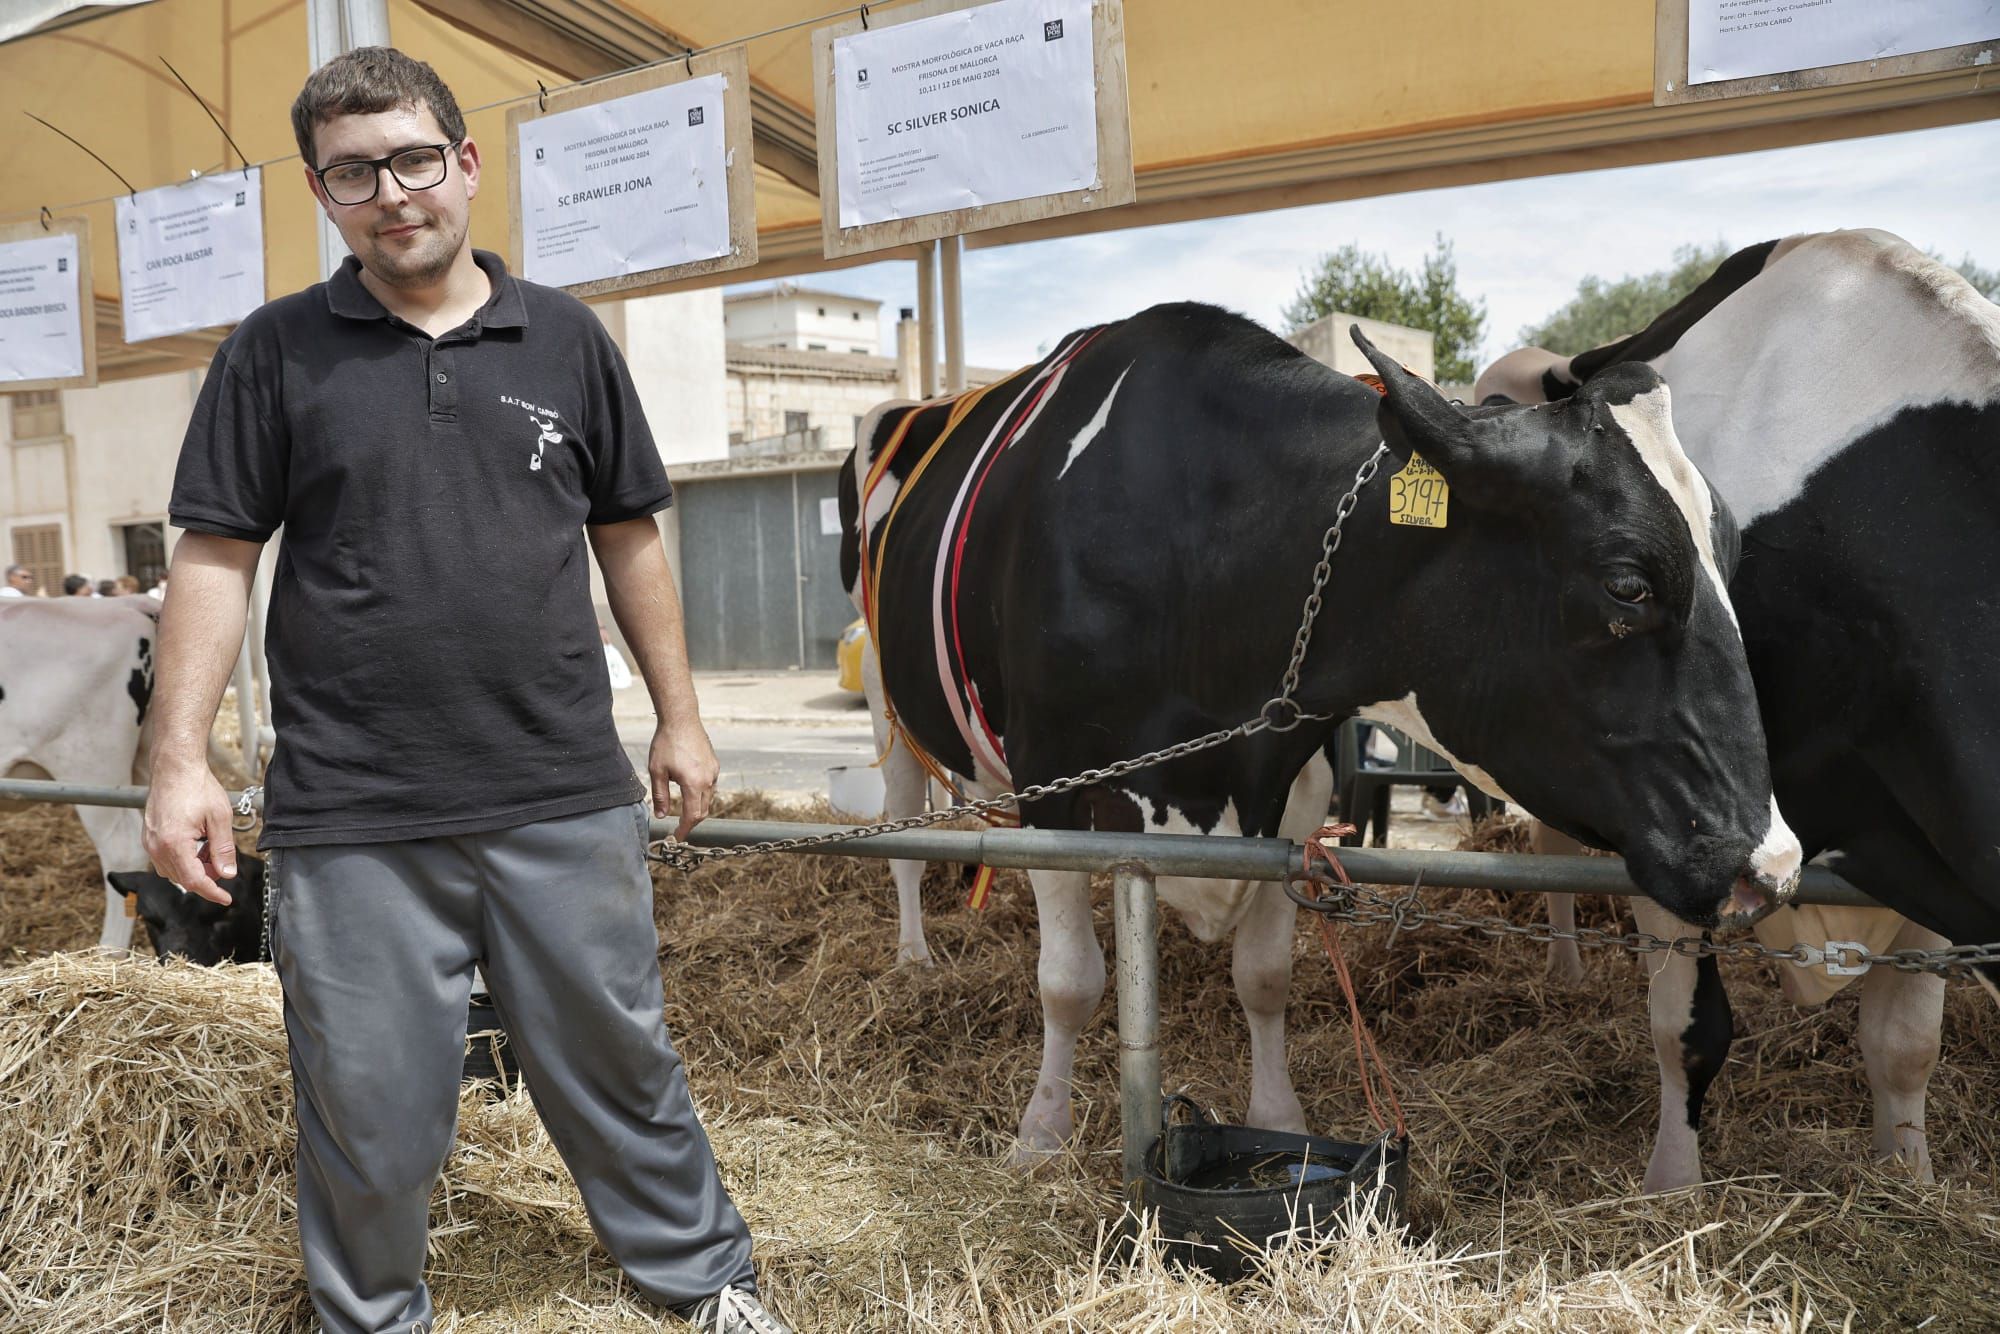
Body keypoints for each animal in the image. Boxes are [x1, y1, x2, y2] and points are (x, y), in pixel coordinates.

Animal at [836, 306, 1808, 1160]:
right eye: (1627, 584)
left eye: (1731, 557)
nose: (1772, 866)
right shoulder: (1055, 787)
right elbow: (1069, 982)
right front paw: (1040, 1135)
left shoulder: (1294, 777)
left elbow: (1265, 977)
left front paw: (1280, 1117)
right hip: (888, 695)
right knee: (899, 835)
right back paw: (915, 957)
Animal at [1480, 230, 2000, 1192]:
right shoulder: (1672, 811)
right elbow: (1688, 1029)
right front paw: (1672, 1186)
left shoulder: (1923, 825)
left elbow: (1905, 1042)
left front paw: (1908, 1182)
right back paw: (1567, 970)